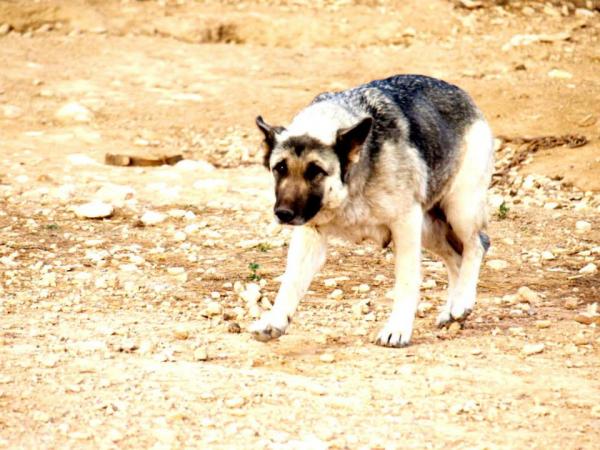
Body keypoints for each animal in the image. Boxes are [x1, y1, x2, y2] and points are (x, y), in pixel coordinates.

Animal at [248, 74, 492, 348]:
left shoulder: (405, 224)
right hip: (429, 229)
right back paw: (453, 309)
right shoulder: (310, 234)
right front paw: (274, 321)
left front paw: (398, 328)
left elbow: (406, 281)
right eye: (280, 168)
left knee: (477, 245)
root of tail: (462, 94)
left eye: (315, 171)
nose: (283, 213)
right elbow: (290, 281)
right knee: (456, 258)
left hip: (459, 210)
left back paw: (462, 301)